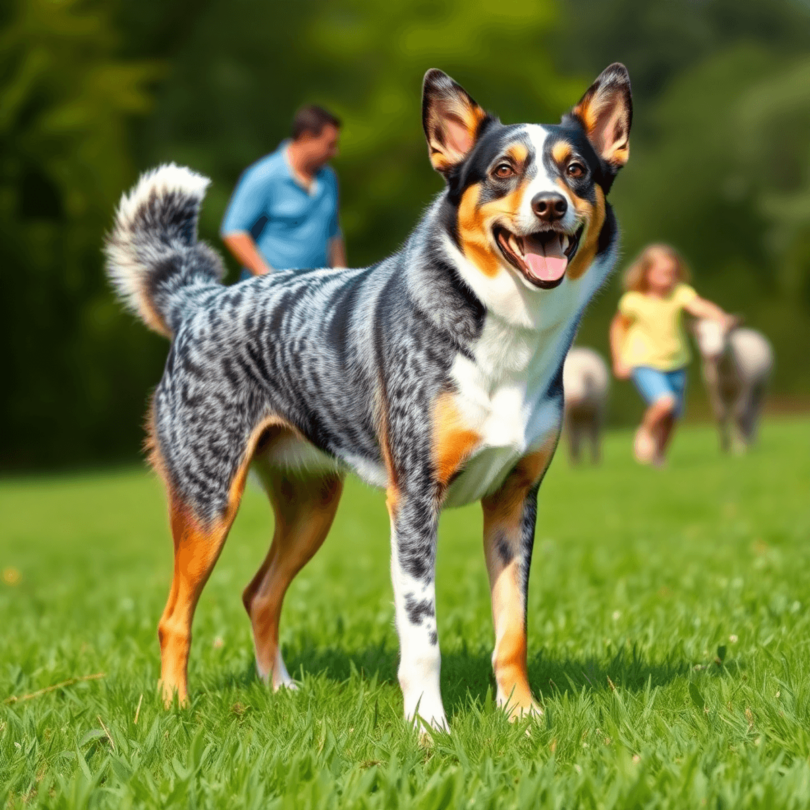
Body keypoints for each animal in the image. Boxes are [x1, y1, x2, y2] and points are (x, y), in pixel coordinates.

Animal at [104, 66, 632, 728]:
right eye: (503, 170)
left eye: (577, 170)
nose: (550, 205)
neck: (506, 325)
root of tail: (198, 299)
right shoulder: (414, 500)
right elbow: (422, 633)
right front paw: (428, 727)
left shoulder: (516, 501)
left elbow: (513, 627)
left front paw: (522, 716)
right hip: (208, 501)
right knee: (175, 617)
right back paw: (175, 708)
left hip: (311, 506)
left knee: (259, 593)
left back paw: (280, 690)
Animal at [688, 318, 772, 454]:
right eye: (700, 335)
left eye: (725, 333)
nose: (713, 355)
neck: (725, 372)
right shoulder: (714, 390)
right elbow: (720, 415)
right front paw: (725, 448)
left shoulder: (744, 387)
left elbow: (739, 414)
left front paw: (740, 448)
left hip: (761, 386)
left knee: (754, 411)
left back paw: (752, 440)